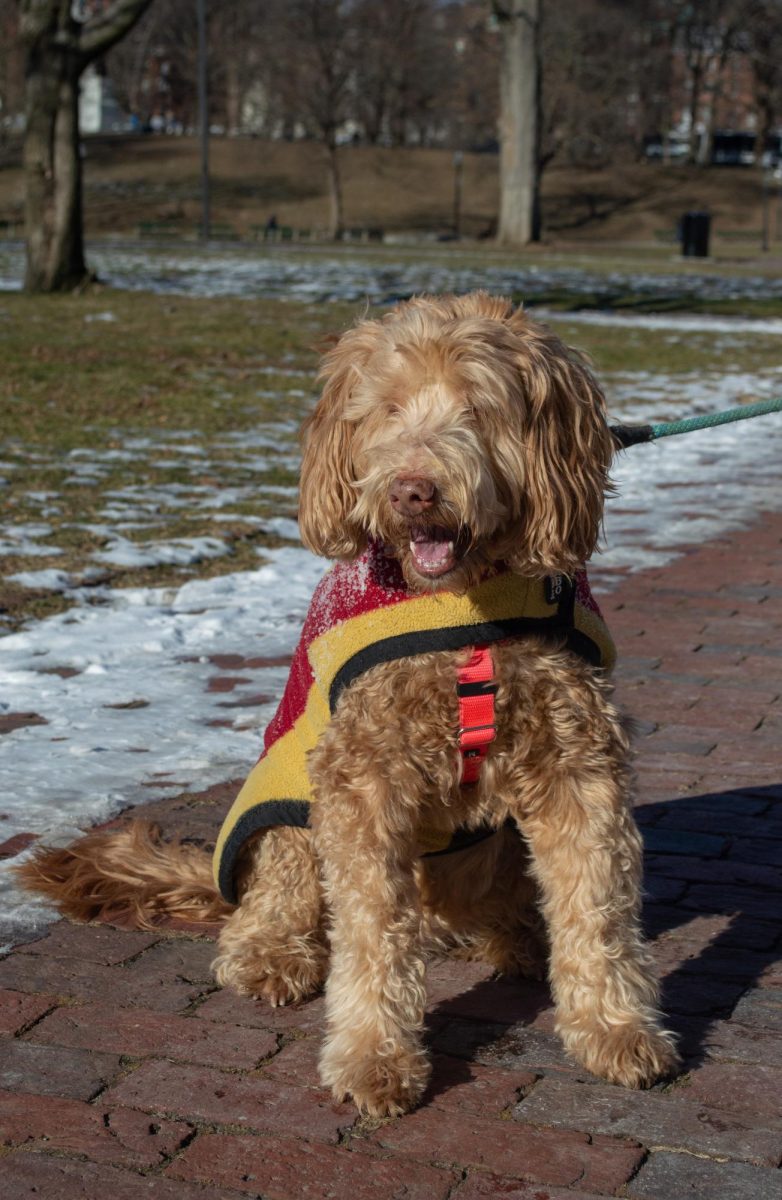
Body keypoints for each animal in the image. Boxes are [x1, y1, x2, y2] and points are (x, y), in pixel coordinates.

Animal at [18, 292, 676, 1113]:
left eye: (480, 407)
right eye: (388, 409)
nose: (413, 490)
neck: (466, 612)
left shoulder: (578, 762)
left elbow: (599, 908)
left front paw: (616, 1030)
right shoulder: (363, 777)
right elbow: (369, 931)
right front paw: (373, 1056)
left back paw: (516, 936)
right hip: (291, 813)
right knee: (277, 905)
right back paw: (272, 953)